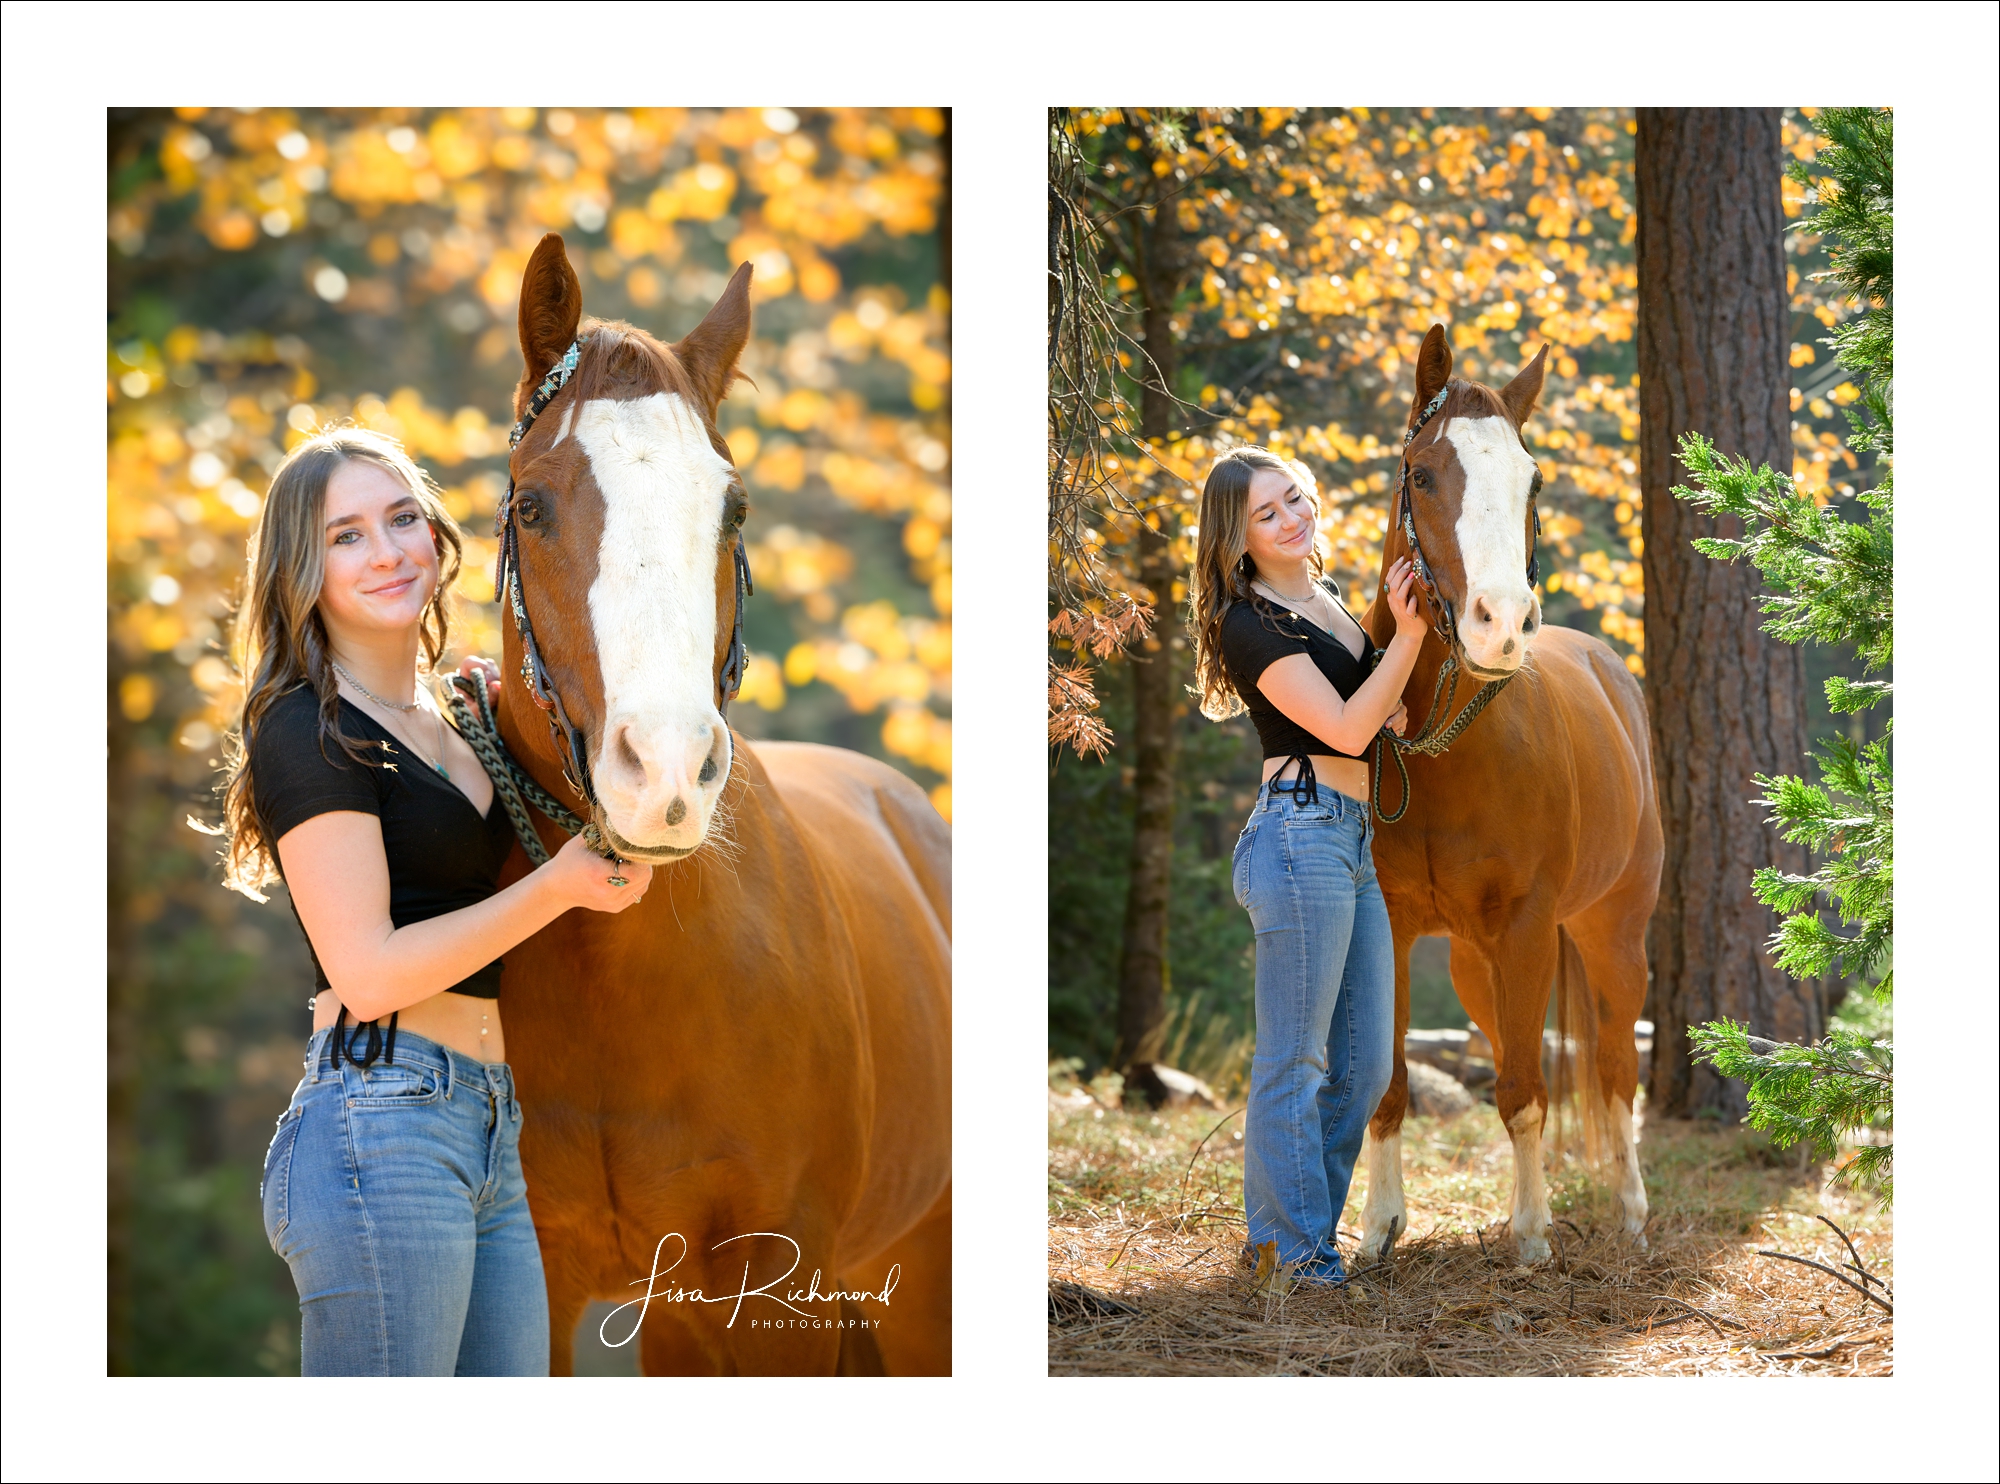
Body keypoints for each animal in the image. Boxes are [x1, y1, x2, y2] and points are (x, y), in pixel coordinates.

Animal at [1352, 326, 1664, 1264]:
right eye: (1421, 473)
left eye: (1533, 480)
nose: (1503, 624)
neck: (1441, 753)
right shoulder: (1390, 926)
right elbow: (1391, 1082)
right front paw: (1379, 1228)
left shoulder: (1528, 928)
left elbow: (1528, 1092)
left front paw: (1531, 1236)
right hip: (1475, 963)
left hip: (1612, 935)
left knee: (1612, 1069)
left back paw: (1630, 1214)